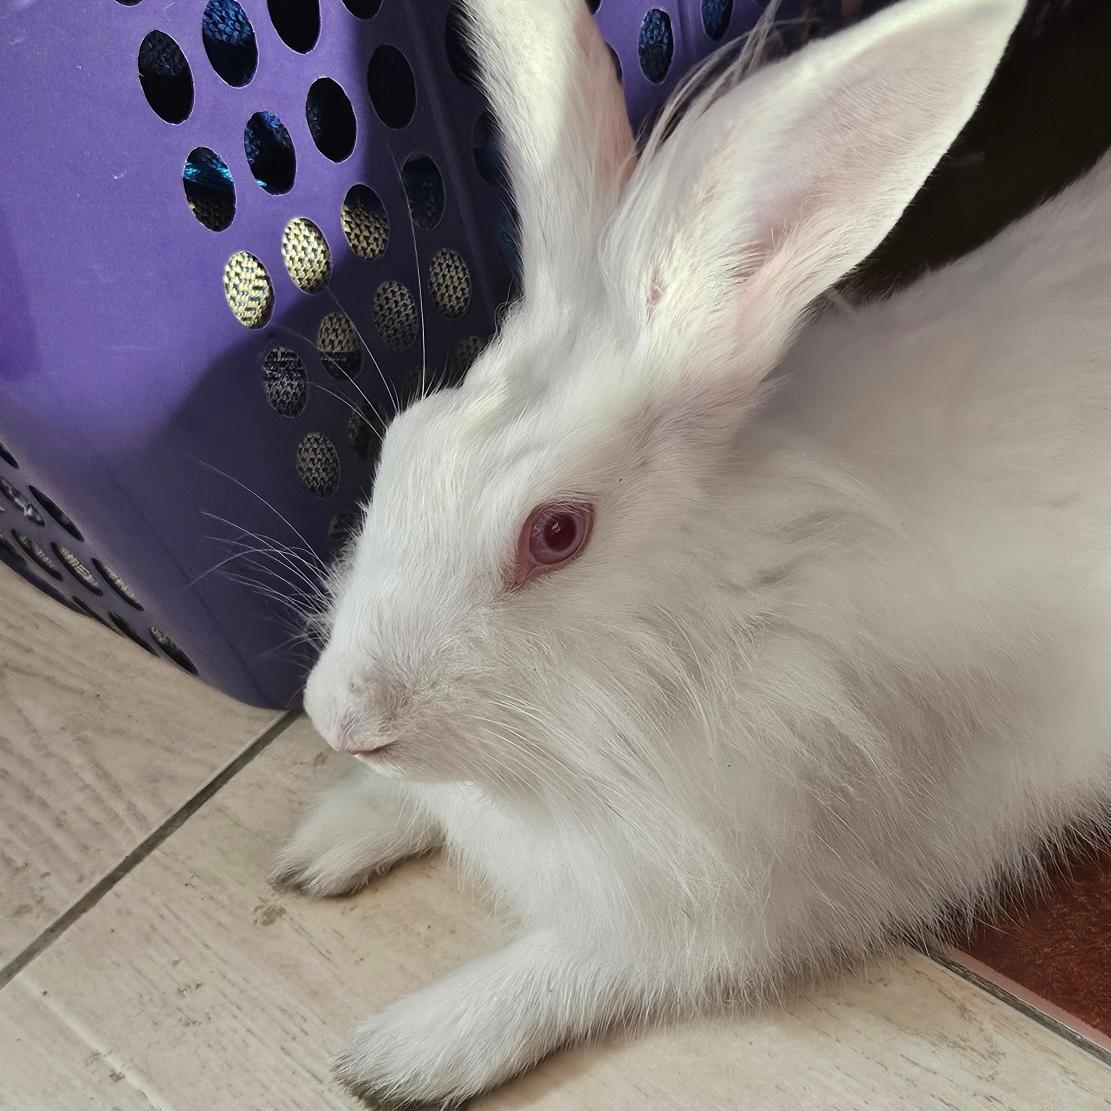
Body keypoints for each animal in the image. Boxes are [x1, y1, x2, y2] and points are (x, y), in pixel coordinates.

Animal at [274, 0, 1111, 1103]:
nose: (339, 717)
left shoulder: (756, 902)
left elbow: (594, 962)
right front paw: (324, 838)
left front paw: (403, 1053)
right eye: (402, 440)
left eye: (556, 534)